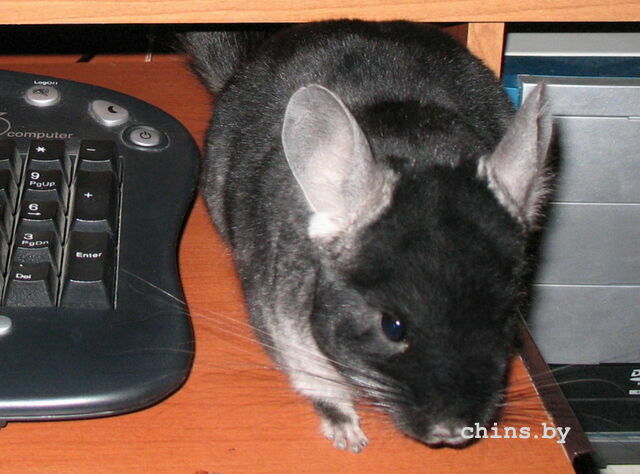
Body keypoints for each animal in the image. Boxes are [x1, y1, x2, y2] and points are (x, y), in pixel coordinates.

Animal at [180, 20, 552, 452]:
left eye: (507, 317)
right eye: (392, 326)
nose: (452, 432)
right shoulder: (281, 322)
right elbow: (320, 384)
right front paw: (349, 437)